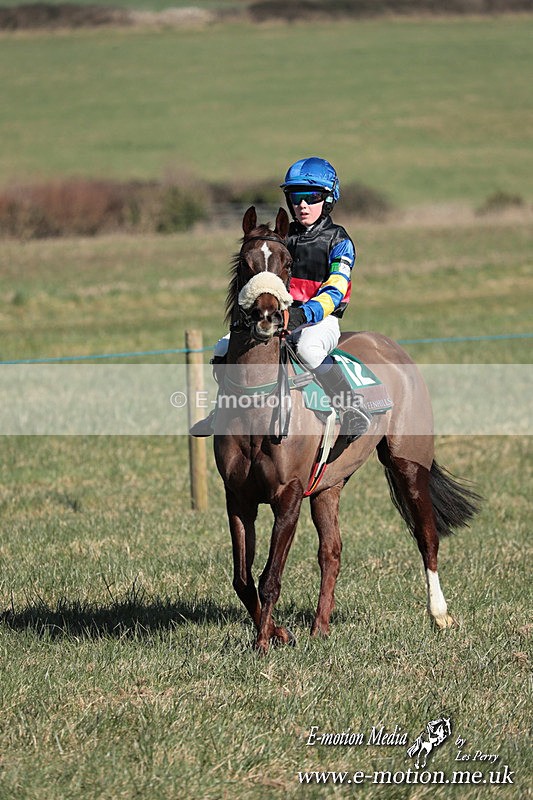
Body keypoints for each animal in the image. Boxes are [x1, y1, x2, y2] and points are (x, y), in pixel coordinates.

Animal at [213, 205, 480, 654]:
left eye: (287, 264)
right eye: (246, 263)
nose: (268, 317)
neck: (257, 404)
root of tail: (389, 344)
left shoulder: (288, 498)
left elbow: (269, 578)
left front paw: (263, 643)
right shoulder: (238, 497)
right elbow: (242, 579)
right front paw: (279, 632)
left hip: (408, 464)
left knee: (427, 536)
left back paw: (439, 614)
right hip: (328, 485)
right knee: (332, 551)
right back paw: (320, 626)